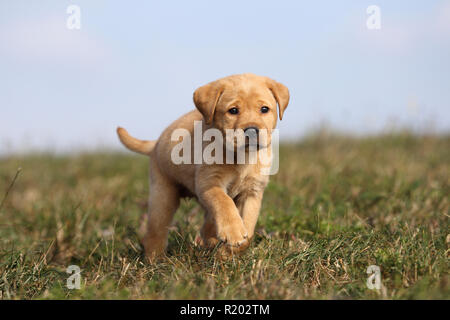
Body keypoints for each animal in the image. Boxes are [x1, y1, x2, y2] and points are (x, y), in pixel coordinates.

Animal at [118, 74, 290, 258]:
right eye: (233, 110)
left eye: (264, 109)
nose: (251, 131)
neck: (241, 157)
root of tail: (156, 143)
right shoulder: (209, 182)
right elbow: (223, 201)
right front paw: (233, 231)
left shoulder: (252, 191)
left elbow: (249, 226)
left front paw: (231, 249)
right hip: (162, 196)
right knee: (155, 234)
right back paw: (155, 259)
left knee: (205, 225)